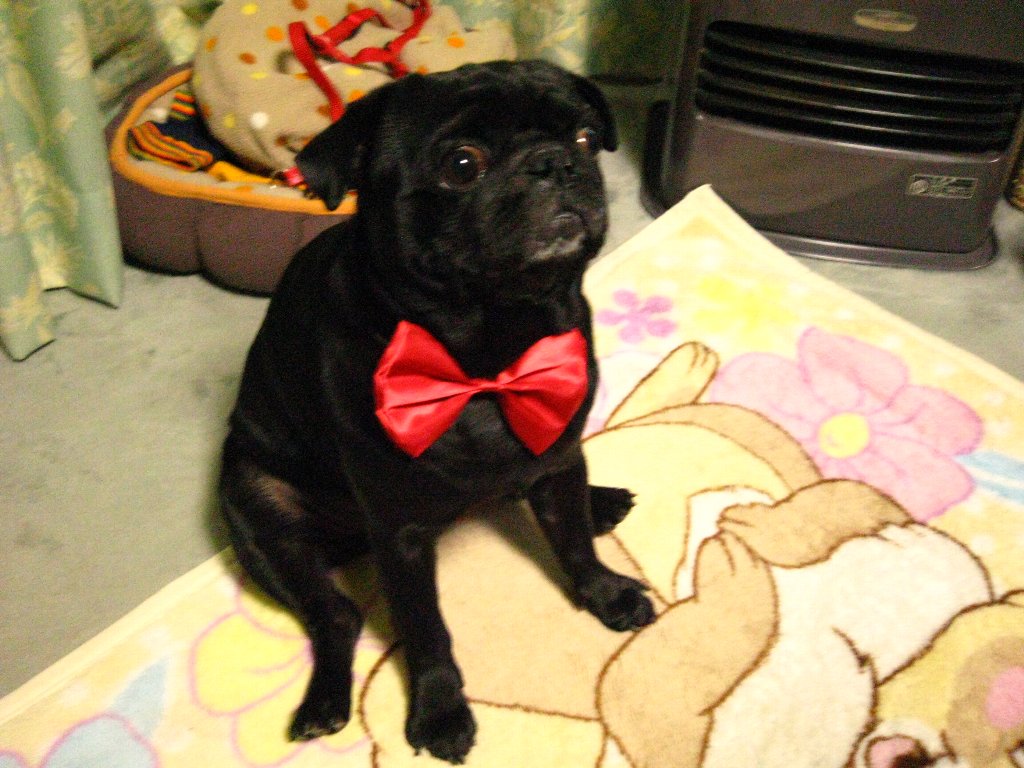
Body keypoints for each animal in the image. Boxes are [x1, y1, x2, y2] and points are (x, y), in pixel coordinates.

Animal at [219, 59, 655, 764]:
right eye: (462, 163)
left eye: (587, 139)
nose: (556, 161)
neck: (489, 352)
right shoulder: (400, 536)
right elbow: (426, 631)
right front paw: (439, 711)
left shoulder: (558, 453)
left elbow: (573, 544)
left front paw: (605, 593)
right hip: (262, 516)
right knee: (336, 616)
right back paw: (322, 704)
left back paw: (601, 500)